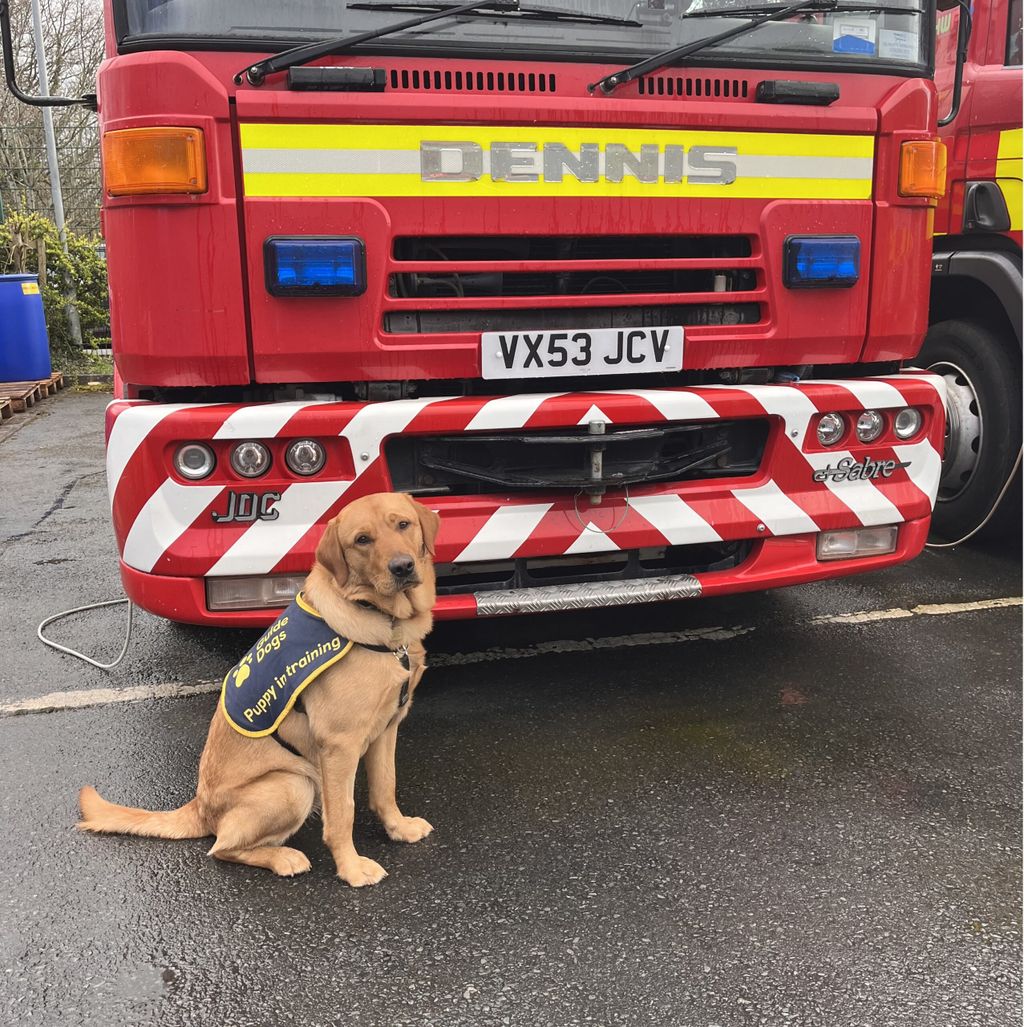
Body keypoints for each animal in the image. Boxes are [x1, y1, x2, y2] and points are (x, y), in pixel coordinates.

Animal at [76, 492, 435, 887]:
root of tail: (199, 807)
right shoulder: (339, 744)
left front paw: (398, 828)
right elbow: (343, 813)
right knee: (222, 847)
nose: (402, 567)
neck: (386, 623)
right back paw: (283, 857)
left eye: (403, 524)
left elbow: (385, 787)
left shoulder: (388, 727)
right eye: (362, 540)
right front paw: (351, 867)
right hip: (293, 784)